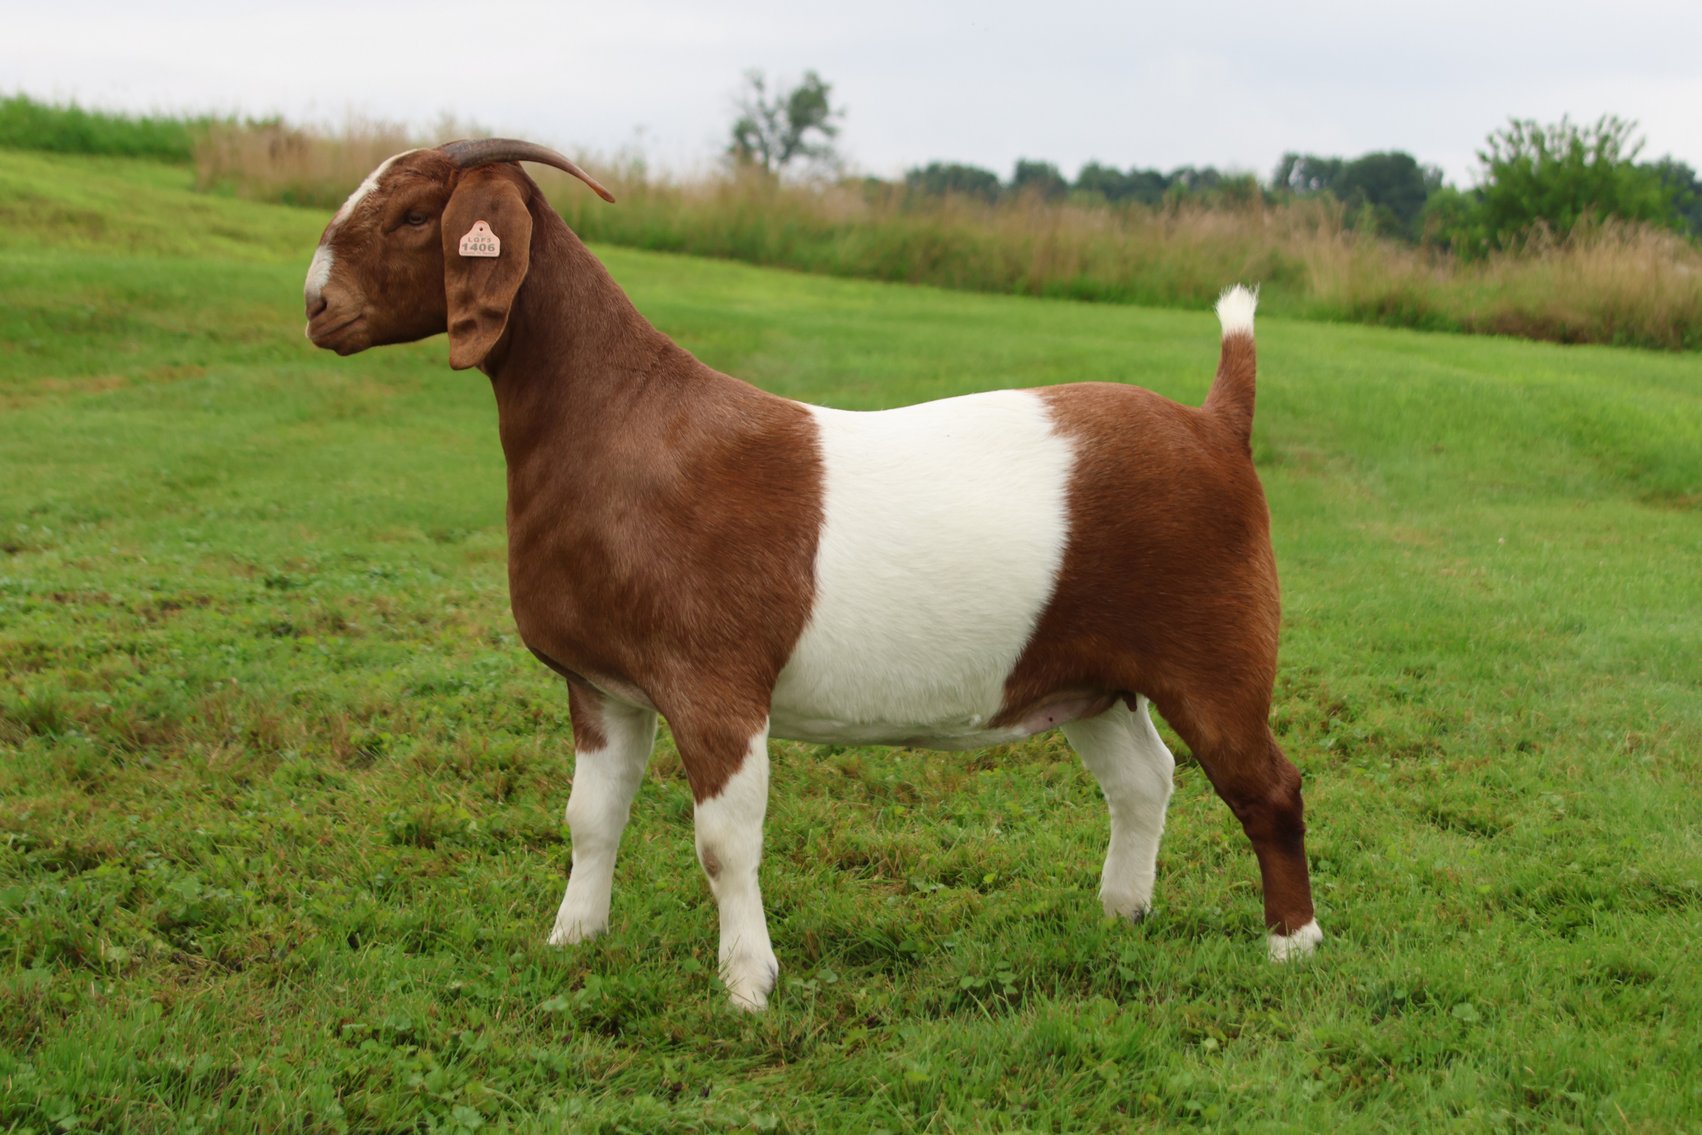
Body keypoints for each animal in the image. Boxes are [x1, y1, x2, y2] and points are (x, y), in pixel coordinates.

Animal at [303, 139, 1321, 1010]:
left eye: (411, 216)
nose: (316, 306)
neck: (622, 422)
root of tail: (1216, 422)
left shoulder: (715, 685)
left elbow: (724, 842)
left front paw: (748, 984)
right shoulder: (603, 686)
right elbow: (591, 817)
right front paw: (571, 940)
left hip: (1215, 653)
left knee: (1266, 785)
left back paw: (1292, 946)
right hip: (1090, 676)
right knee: (1144, 780)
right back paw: (1121, 913)